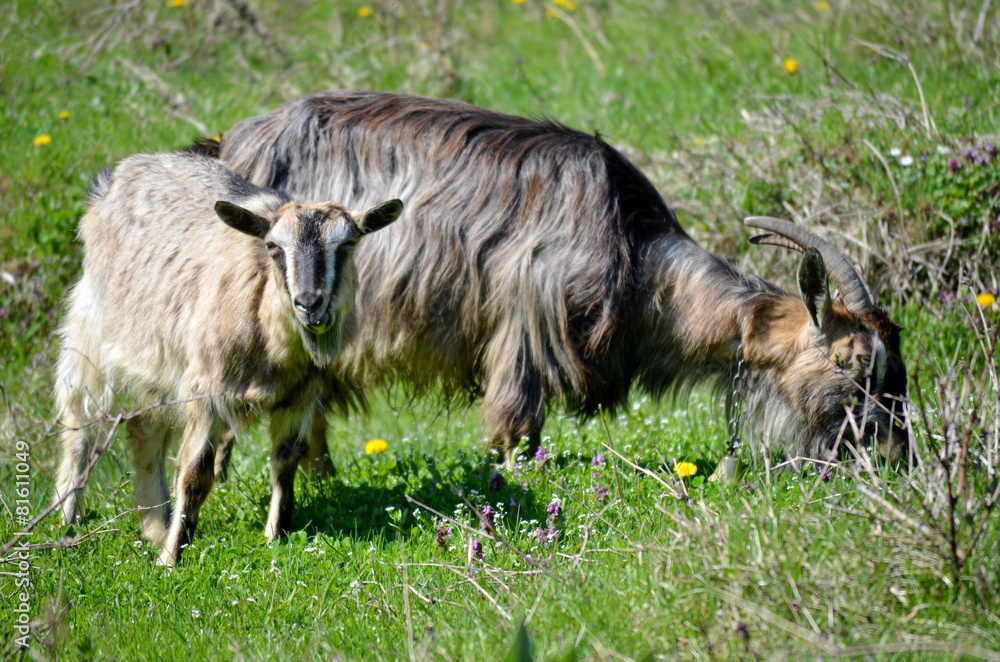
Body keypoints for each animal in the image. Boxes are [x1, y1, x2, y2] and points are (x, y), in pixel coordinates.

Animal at [53, 152, 402, 565]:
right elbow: (195, 474)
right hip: (89, 333)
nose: (309, 304)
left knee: (144, 431)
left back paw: (154, 525)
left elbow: (286, 461)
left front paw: (275, 536)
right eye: (273, 247)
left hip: (156, 369)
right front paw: (172, 558)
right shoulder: (207, 391)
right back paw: (67, 519)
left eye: (347, 245)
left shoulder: (301, 395)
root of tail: (116, 177)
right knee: (80, 421)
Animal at [206, 90, 908, 466]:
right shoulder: (527, 325)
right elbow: (517, 424)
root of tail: (235, 143)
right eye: (853, 362)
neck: (634, 253)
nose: (896, 453)